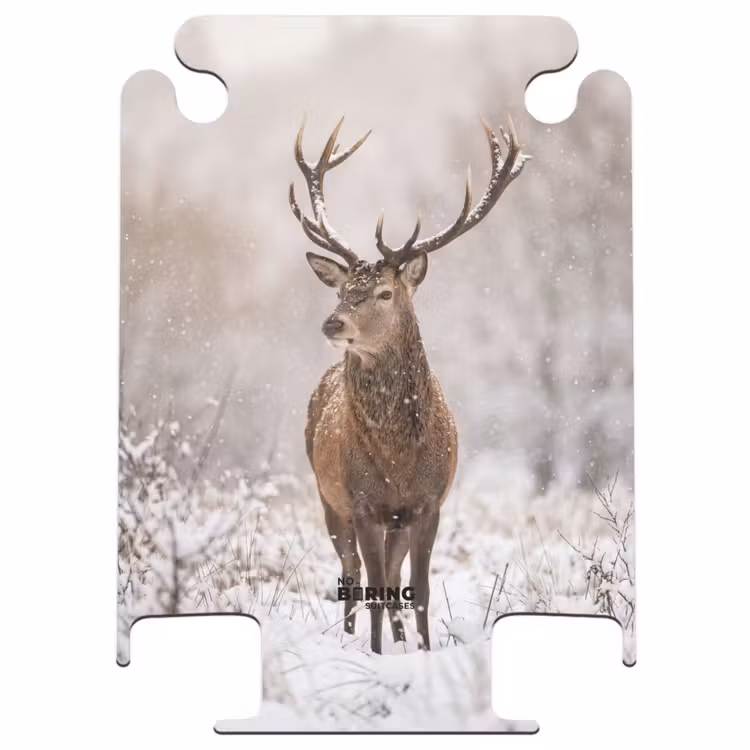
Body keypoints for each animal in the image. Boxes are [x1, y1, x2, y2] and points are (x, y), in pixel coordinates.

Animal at [289, 114, 529, 654]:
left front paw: (420, 650)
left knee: (391, 578)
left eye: (383, 292)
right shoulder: (361, 503)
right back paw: (352, 640)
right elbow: (376, 588)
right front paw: (377, 656)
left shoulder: (428, 503)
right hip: (326, 497)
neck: (397, 460)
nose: (332, 323)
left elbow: (417, 589)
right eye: (341, 290)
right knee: (352, 576)